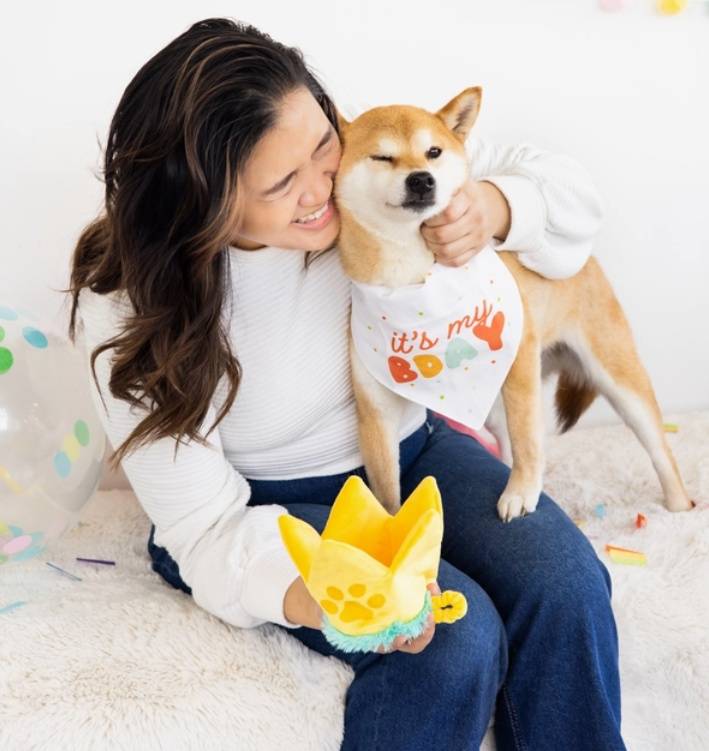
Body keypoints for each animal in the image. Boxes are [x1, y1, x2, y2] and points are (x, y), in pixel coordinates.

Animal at [334, 86, 692, 524]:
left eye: (433, 152)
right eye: (382, 157)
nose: (421, 179)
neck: (413, 280)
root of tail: (585, 259)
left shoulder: (518, 360)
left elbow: (528, 439)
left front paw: (520, 492)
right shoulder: (376, 412)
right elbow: (385, 495)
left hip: (617, 380)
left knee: (659, 451)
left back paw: (678, 507)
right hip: (492, 402)